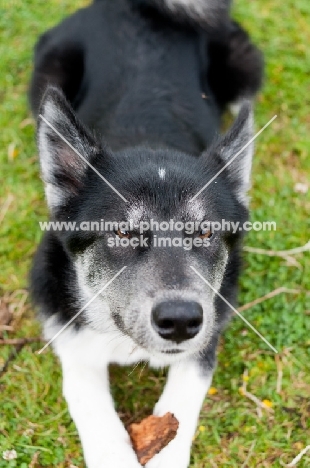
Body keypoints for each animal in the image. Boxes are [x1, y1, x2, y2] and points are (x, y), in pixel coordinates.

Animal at [29, 1, 262, 466]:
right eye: (122, 232)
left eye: (204, 232)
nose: (180, 321)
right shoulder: (65, 324)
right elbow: (87, 396)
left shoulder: (211, 324)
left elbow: (185, 393)